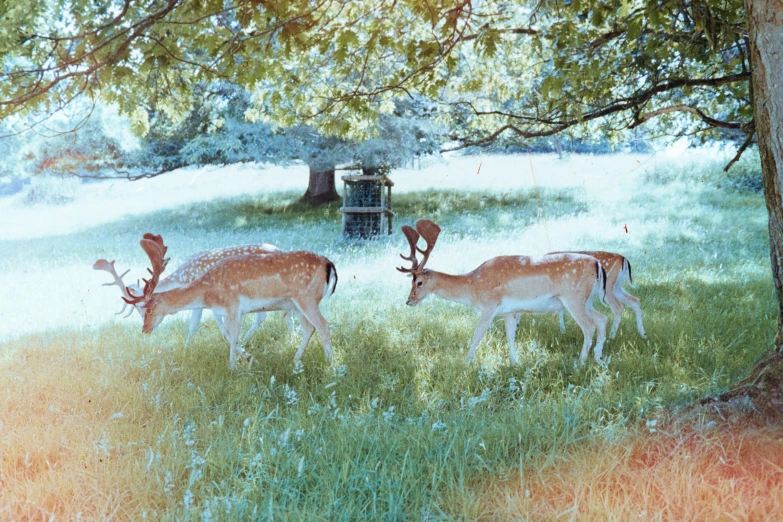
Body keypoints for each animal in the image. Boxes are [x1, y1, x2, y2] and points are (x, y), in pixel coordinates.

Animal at [93, 244, 296, 346]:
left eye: (143, 307)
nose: (145, 328)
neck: (182, 278)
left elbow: (199, 323)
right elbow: (198, 324)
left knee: (271, 315)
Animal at [118, 232, 334, 366]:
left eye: (147, 308)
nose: (144, 329)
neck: (208, 291)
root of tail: (328, 263)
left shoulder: (233, 305)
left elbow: (231, 335)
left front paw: (234, 366)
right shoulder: (220, 310)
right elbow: (224, 334)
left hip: (307, 297)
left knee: (323, 325)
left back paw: (330, 365)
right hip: (296, 304)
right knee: (309, 328)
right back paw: (295, 361)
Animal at [402, 217, 608, 364]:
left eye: (419, 282)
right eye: (410, 281)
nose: (408, 301)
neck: (473, 286)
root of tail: (597, 264)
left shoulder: (489, 306)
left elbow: (477, 335)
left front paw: (466, 364)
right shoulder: (510, 311)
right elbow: (510, 337)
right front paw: (514, 363)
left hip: (574, 298)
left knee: (589, 326)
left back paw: (580, 362)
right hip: (587, 300)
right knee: (602, 318)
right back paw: (598, 359)